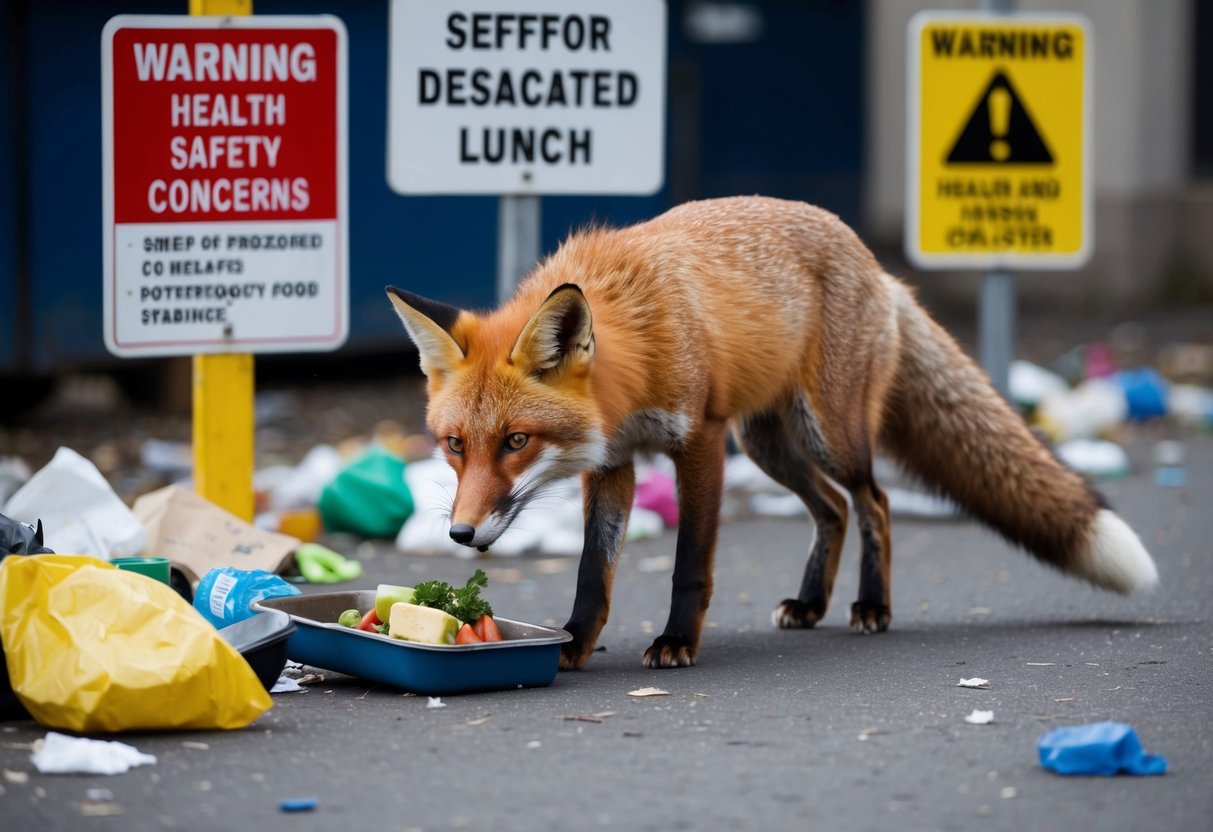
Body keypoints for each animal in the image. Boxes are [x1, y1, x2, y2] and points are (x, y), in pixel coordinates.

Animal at [386, 195, 1159, 670]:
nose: (459, 534)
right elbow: (592, 572)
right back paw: (812, 603)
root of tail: (876, 266)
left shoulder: (698, 441)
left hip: (826, 435)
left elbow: (689, 566)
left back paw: (871, 606)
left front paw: (675, 641)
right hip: (767, 447)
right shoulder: (613, 463)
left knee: (874, 503)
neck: (635, 335)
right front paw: (572, 642)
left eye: (515, 442)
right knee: (835, 509)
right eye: (455, 446)